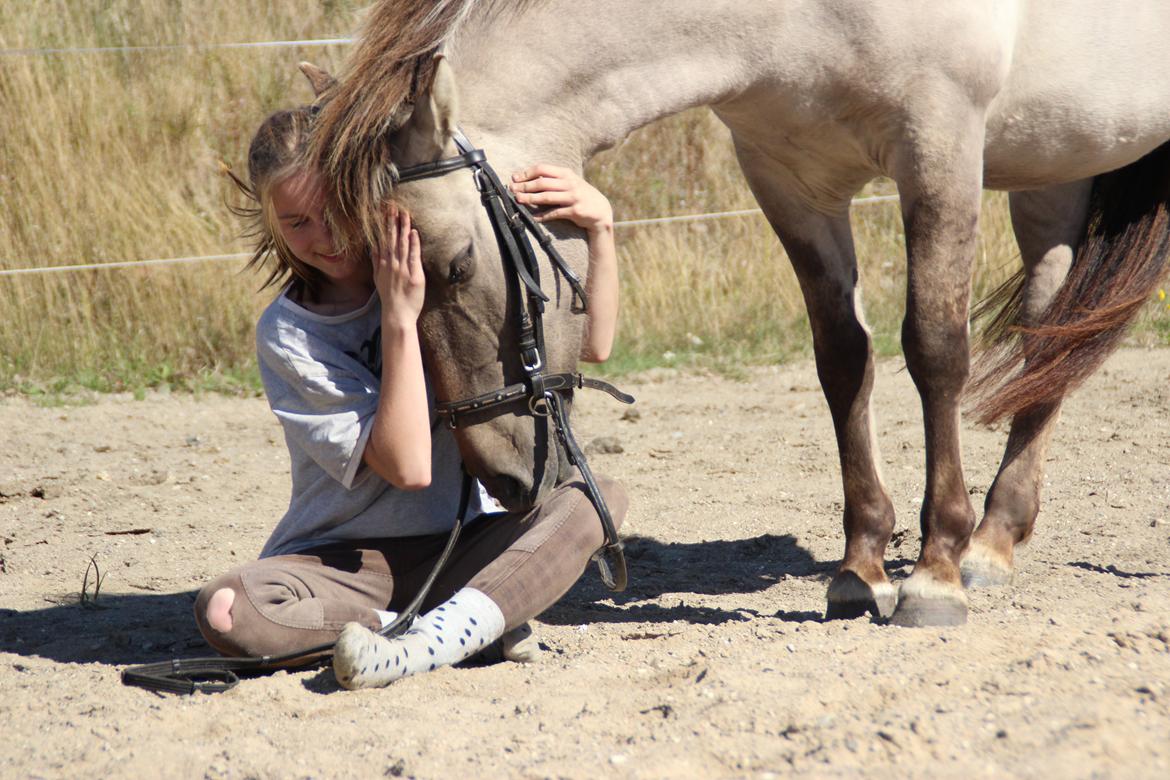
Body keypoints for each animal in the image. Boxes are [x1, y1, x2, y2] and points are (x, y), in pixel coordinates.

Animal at [304, 0, 1170, 626]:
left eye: (455, 265)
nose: (505, 478)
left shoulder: (940, 146)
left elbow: (933, 349)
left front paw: (933, 573)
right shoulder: (790, 179)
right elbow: (842, 360)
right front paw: (860, 568)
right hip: (1057, 161)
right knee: (1049, 329)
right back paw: (996, 539)